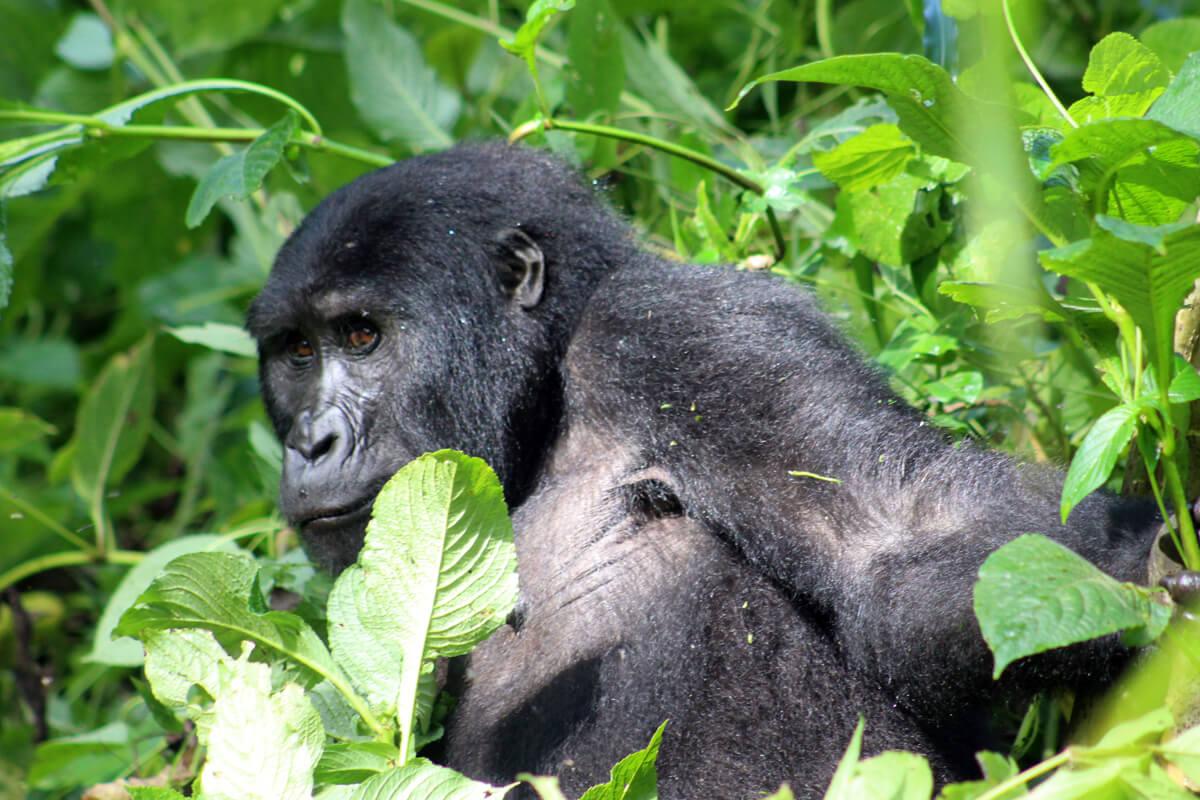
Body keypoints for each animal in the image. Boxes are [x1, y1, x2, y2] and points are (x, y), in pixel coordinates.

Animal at [246, 140, 1171, 796]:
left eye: (362, 335)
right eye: (298, 353)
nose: (311, 443)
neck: (542, 408)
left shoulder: (687, 331)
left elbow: (899, 537)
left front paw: (1151, 568)